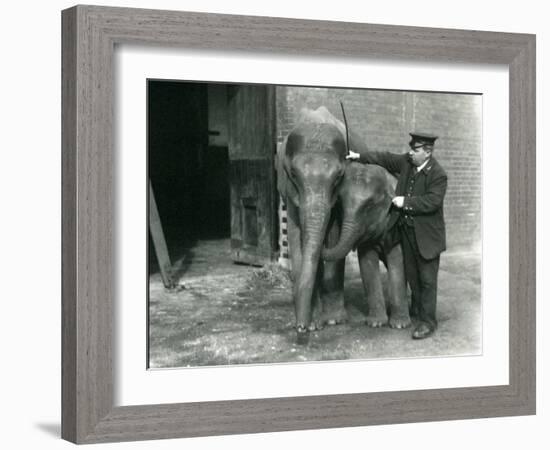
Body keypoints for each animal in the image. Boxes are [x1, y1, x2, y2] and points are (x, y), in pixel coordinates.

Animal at [276, 107, 350, 342]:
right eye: (293, 174)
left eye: (338, 176)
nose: (300, 329)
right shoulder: (289, 191)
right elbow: (294, 235)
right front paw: (311, 325)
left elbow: (334, 235)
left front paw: (332, 321)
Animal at [324, 160, 414, 328]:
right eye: (340, 204)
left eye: (369, 206)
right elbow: (367, 262)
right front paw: (376, 323)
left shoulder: (395, 225)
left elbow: (397, 260)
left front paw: (400, 325)